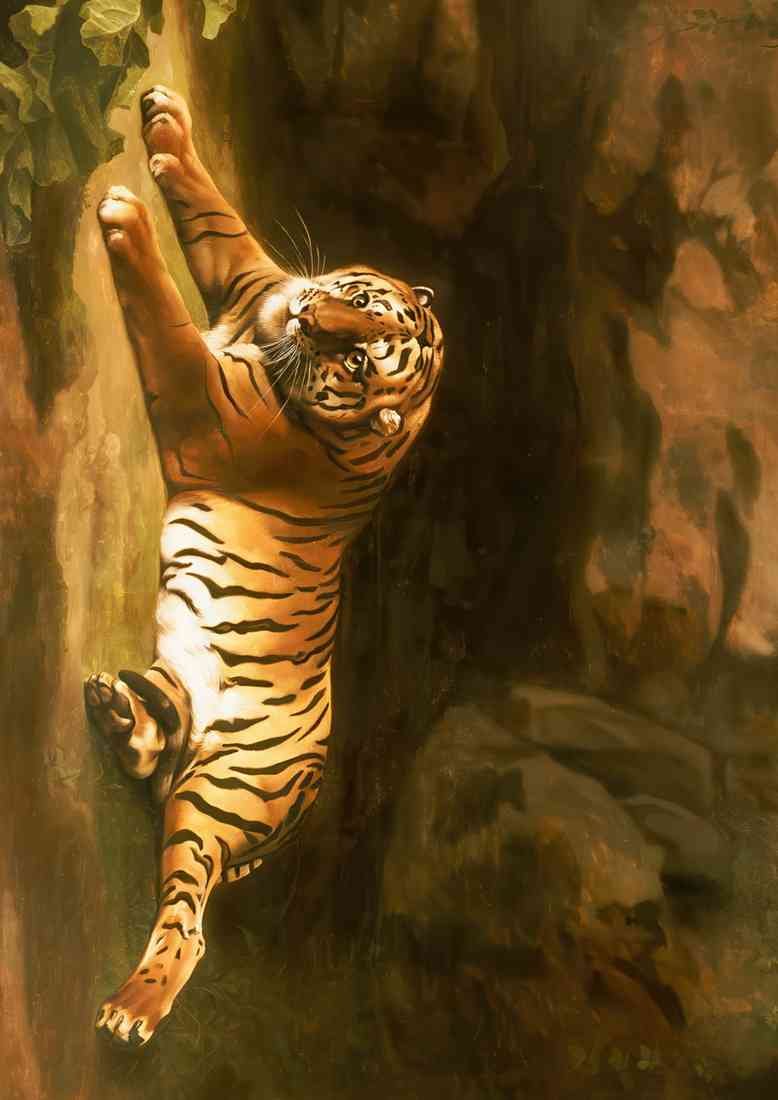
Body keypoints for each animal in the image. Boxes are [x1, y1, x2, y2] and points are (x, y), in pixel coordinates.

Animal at [83, 85, 444, 1047]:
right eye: (356, 303)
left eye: (357, 358)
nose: (312, 320)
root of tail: (315, 785)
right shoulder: (253, 278)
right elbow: (215, 210)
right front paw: (164, 125)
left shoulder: (203, 407)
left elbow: (165, 322)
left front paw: (125, 215)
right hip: (177, 687)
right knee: (152, 748)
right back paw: (110, 706)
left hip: (222, 800)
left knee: (189, 917)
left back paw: (131, 1011)